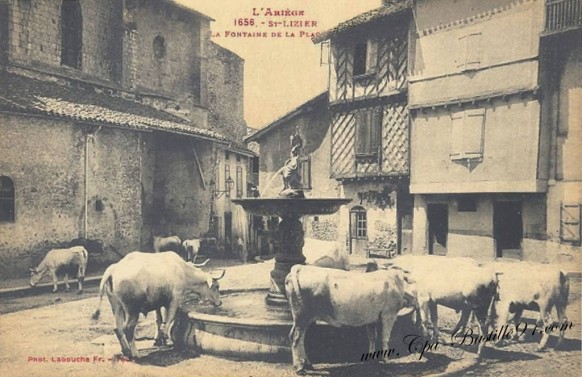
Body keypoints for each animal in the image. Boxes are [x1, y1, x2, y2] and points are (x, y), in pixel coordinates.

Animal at [93, 251, 226, 356]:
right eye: (216, 286)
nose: (220, 302)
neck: (181, 270)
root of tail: (114, 269)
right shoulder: (174, 301)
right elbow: (169, 319)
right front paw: (166, 336)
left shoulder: (158, 303)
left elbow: (158, 320)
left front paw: (158, 339)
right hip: (132, 311)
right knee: (128, 329)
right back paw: (135, 354)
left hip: (116, 307)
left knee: (117, 328)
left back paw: (126, 350)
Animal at [286, 264, 416, 374]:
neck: (395, 281)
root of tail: (300, 267)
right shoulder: (388, 315)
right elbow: (385, 338)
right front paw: (386, 360)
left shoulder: (371, 319)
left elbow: (372, 338)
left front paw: (372, 359)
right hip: (302, 316)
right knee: (296, 338)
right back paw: (299, 368)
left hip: (303, 318)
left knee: (299, 338)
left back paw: (307, 365)